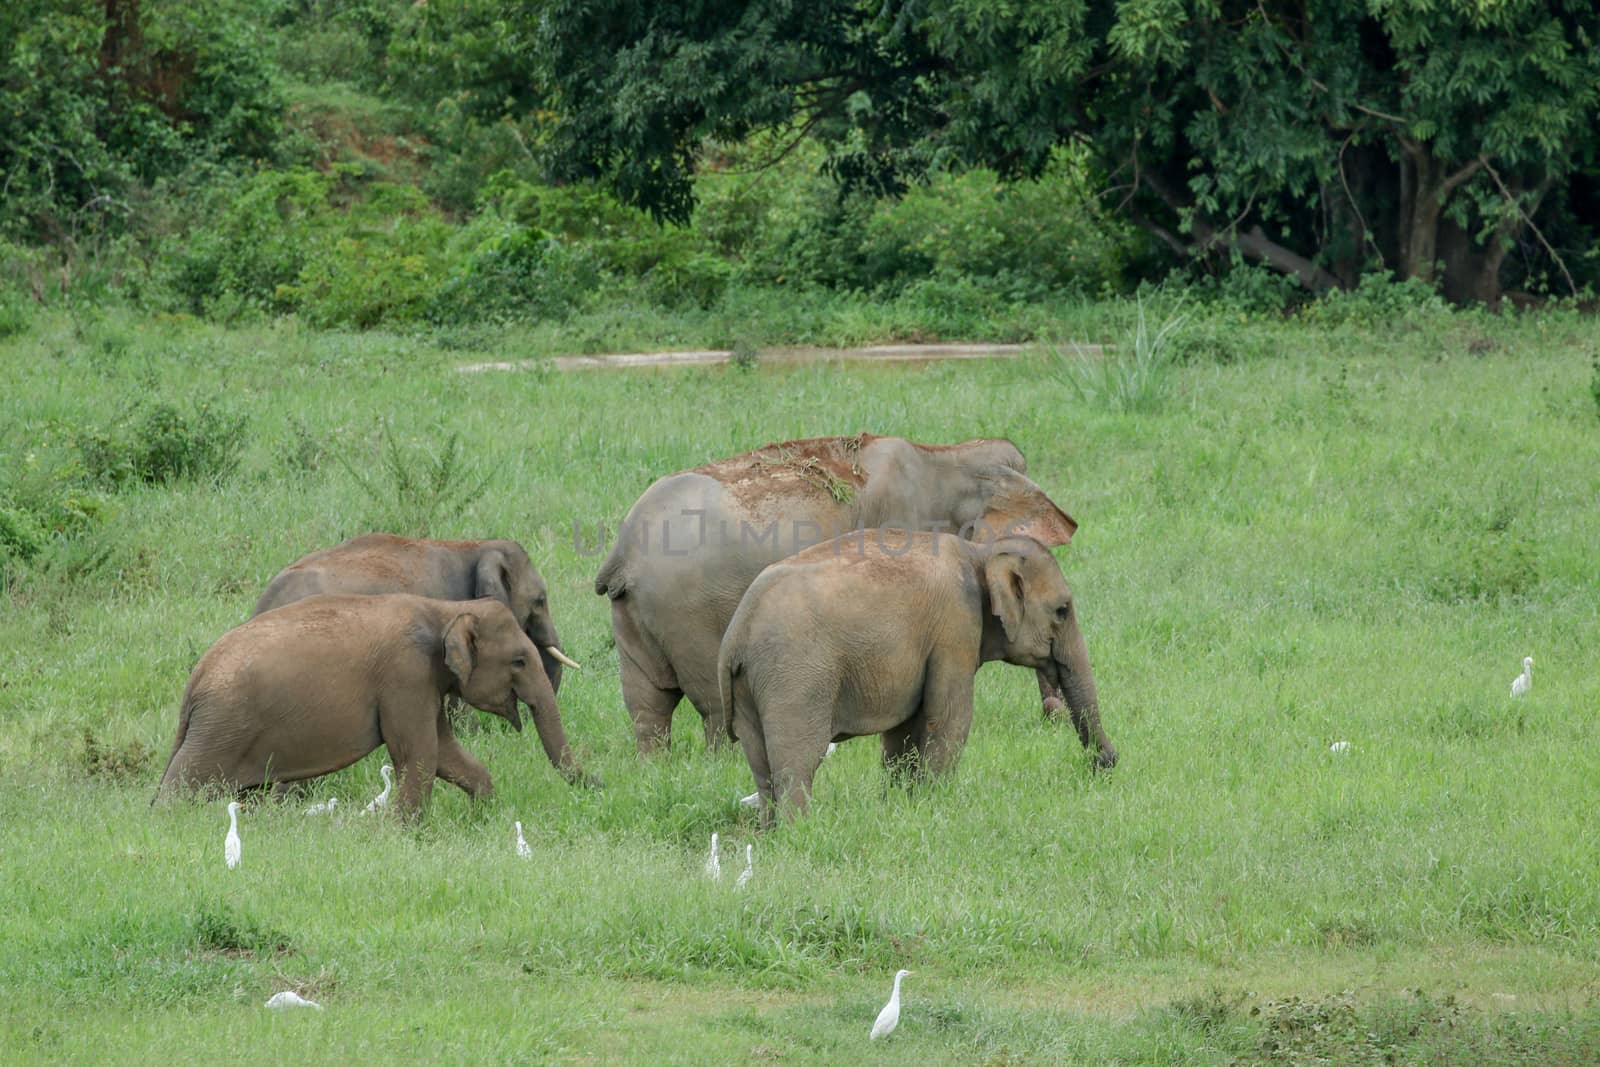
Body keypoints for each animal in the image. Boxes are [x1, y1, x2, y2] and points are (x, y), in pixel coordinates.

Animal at [154, 591, 595, 819]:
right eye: (519, 661)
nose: (600, 785)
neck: (446, 608)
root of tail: (195, 680)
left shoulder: (425, 682)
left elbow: (444, 753)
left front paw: (483, 814)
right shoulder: (405, 675)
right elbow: (420, 753)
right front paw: (402, 832)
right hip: (223, 727)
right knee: (180, 787)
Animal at [595, 428, 1081, 755]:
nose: (1053, 715)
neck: (945, 457)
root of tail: (623, 553)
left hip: (636, 615)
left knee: (647, 705)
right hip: (689, 613)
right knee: (714, 708)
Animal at [723, 534, 1113, 825]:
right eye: (1062, 611)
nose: (1104, 764)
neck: (982, 552)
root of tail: (738, 632)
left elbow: (904, 732)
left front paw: (902, 807)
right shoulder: (955, 626)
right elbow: (951, 718)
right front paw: (938, 806)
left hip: (751, 685)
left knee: (761, 765)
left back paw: (772, 834)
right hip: (796, 678)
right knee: (798, 762)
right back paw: (800, 832)